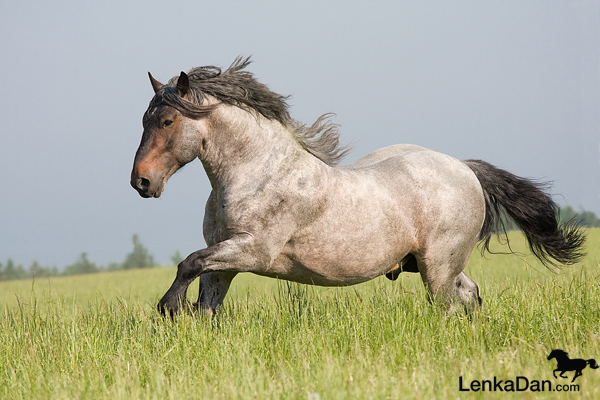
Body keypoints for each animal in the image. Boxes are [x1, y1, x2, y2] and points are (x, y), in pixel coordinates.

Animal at [129, 57, 584, 318]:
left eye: (167, 121)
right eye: (144, 121)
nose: (141, 182)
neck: (257, 174)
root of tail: (463, 168)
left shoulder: (254, 250)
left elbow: (188, 263)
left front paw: (168, 308)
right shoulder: (226, 258)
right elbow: (206, 302)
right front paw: (184, 317)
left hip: (438, 267)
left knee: (449, 307)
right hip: (435, 263)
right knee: (469, 296)